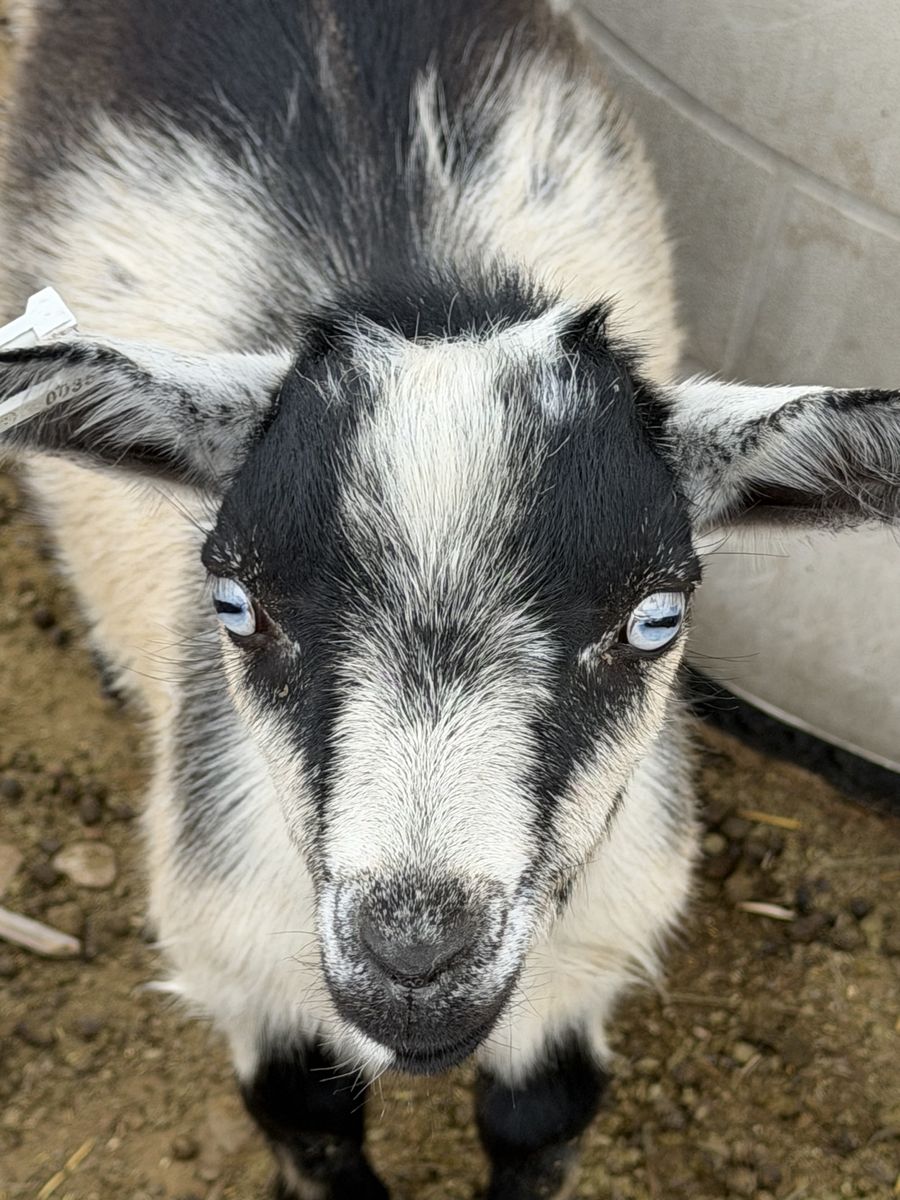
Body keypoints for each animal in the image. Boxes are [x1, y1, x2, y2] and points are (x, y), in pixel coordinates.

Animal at [1, 2, 898, 1197]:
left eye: (655, 620)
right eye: (236, 604)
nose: (416, 952)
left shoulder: (588, 952)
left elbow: (541, 1118)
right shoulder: (238, 951)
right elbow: (308, 1120)